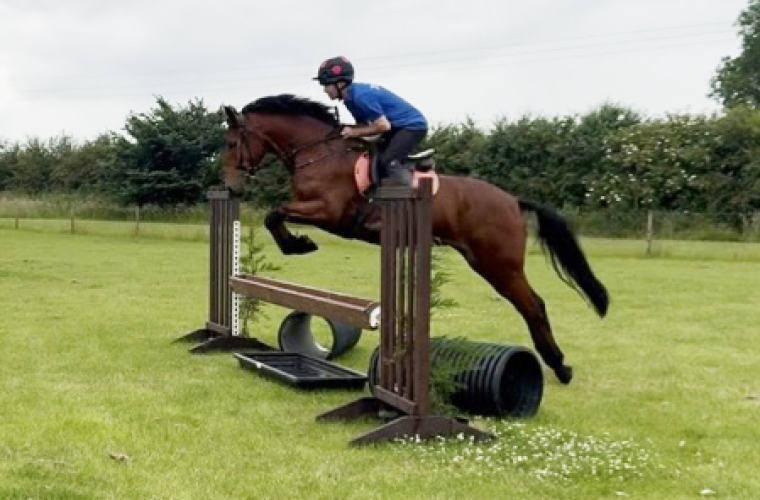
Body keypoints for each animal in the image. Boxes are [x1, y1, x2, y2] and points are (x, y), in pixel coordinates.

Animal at [221, 94, 609, 385]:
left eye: (231, 143)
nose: (231, 187)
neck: (318, 153)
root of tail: (513, 200)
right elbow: (275, 215)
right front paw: (298, 243)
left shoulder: (328, 212)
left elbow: (274, 214)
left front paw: (299, 245)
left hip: (498, 264)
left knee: (534, 305)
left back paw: (559, 365)